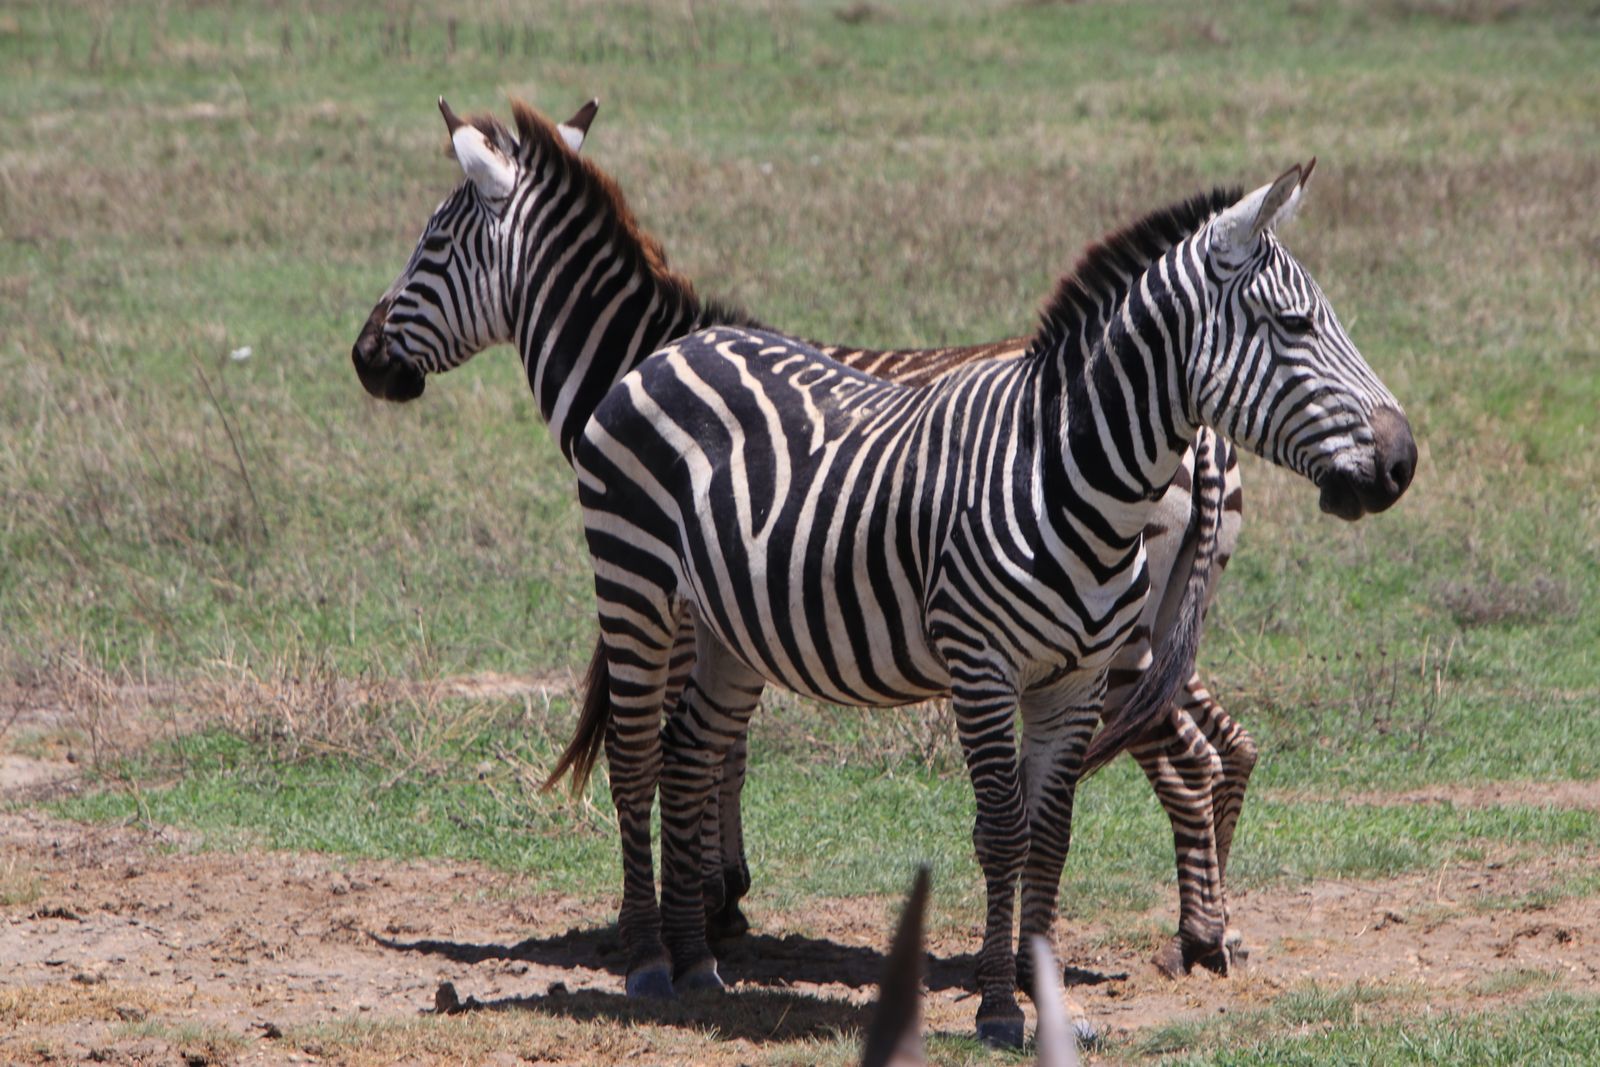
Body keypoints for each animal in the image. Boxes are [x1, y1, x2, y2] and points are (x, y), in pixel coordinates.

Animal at [350, 95, 1260, 972]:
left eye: (432, 241)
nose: (364, 357)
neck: (636, 360)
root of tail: (1204, 436)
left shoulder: (687, 593)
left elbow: (699, 744)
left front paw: (706, 896)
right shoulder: (730, 592)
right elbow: (720, 742)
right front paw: (719, 892)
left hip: (1116, 640)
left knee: (1188, 759)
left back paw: (1194, 934)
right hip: (1159, 625)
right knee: (1231, 745)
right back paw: (1214, 925)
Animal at [547, 163, 1414, 1049]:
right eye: (1294, 324)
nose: (1403, 461)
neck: (1064, 472)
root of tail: (674, 347)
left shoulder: (1078, 682)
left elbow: (1051, 837)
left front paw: (1049, 998)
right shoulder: (983, 666)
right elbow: (1002, 833)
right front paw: (999, 1004)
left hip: (728, 625)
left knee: (690, 753)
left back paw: (697, 960)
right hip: (635, 582)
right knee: (636, 754)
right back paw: (649, 958)